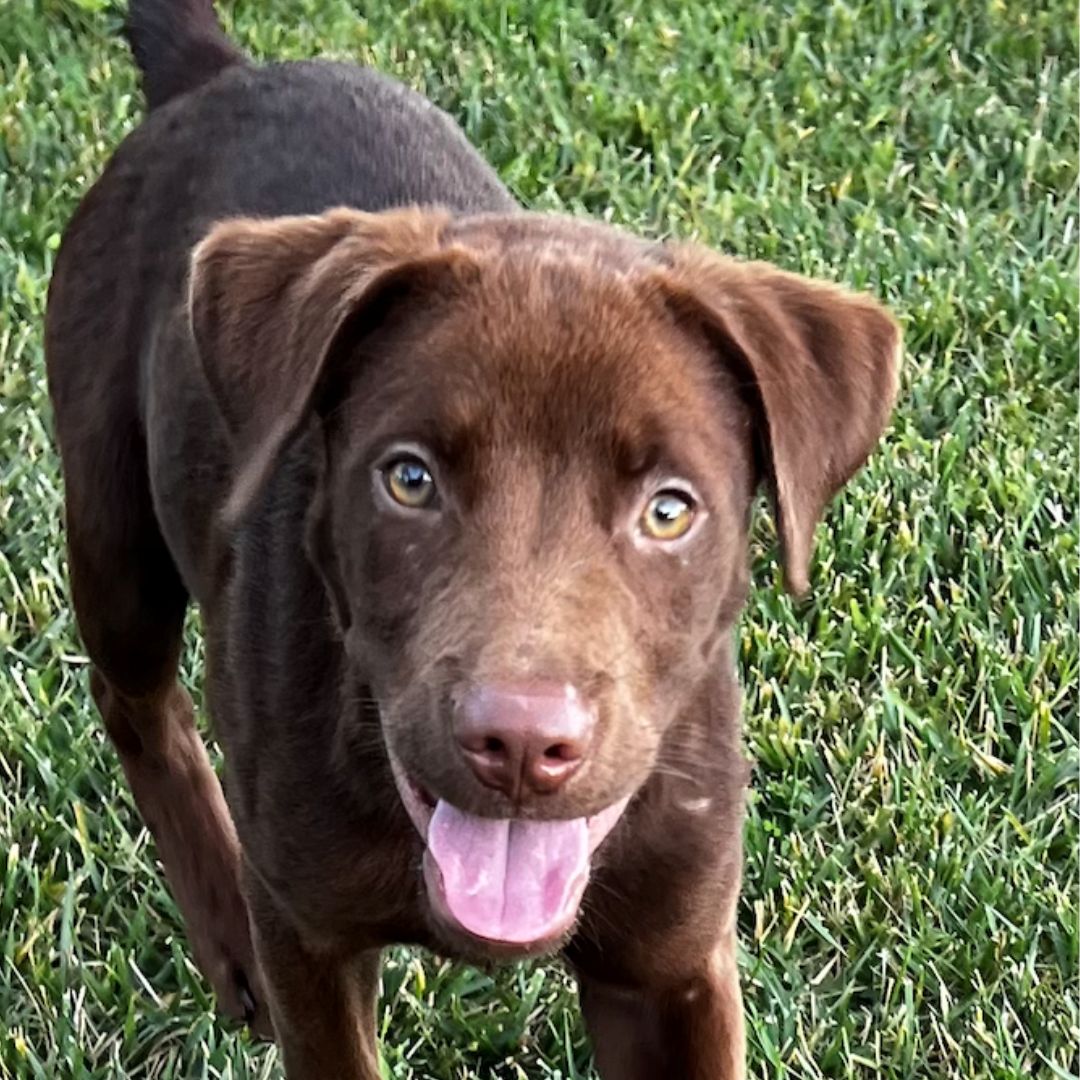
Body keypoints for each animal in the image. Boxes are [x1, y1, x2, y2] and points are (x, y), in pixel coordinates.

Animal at [46, 4, 898, 1075]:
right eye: (409, 479)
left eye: (669, 510)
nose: (522, 745)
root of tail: (218, 74)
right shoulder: (310, 946)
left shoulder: (673, 966)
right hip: (112, 509)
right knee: (135, 698)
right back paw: (222, 917)